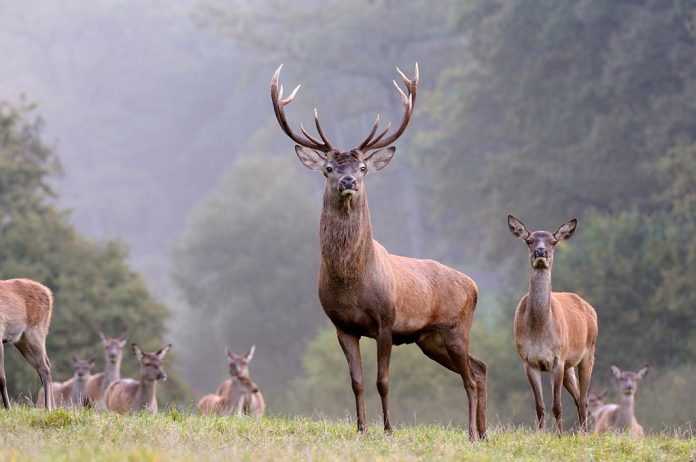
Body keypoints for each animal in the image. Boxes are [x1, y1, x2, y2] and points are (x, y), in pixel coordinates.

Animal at [0, 278, 55, 410]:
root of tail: (48, 292)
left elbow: (1, 377)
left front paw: (8, 408)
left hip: (35, 332)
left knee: (44, 368)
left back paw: (47, 408)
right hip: (22, 340)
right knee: (44, 365)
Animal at [271, 64, 488, 440]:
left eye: (362, 168)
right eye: (329, 168)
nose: (348, 182)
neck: (352, 283)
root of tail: (473, 285)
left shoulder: (387, 321)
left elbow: (382, 381)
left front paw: (388, 428)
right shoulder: (342, 325)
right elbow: (357, 381)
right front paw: (361, 427)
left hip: (456, 327)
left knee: (471, 378)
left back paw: (473, 434)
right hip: (430, 340)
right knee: (479, 368)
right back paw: (484, 431)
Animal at [507, 216, 598, 436]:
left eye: (554, 241)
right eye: (529, 240)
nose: (541, 252)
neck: (539, 332)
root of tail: (590, 308)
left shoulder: (557, 358)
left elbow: (557, 405)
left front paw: (559, 437)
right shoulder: (528, 361)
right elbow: (540, 406)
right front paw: (540, 435)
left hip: (588, 353)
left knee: (584, 399)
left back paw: (584, 435)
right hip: (569, 366)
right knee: (578, 397)